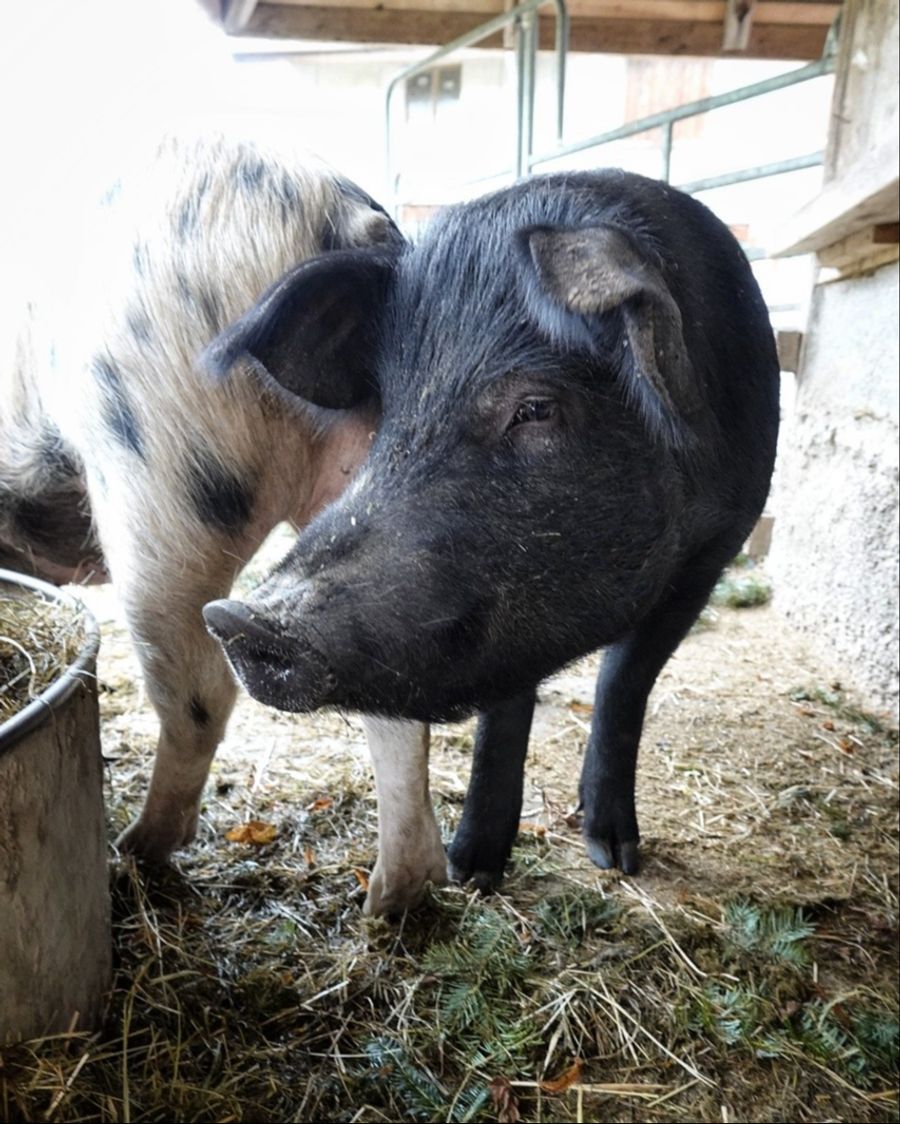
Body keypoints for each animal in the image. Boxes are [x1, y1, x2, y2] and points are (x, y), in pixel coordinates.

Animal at [203, 169, 780, 890]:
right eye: (388, 410)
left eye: (535, 408)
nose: (239, 619)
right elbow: (504, 707)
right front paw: (471, 871)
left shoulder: (713, 551)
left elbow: (625, 683)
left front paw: (615, 857)